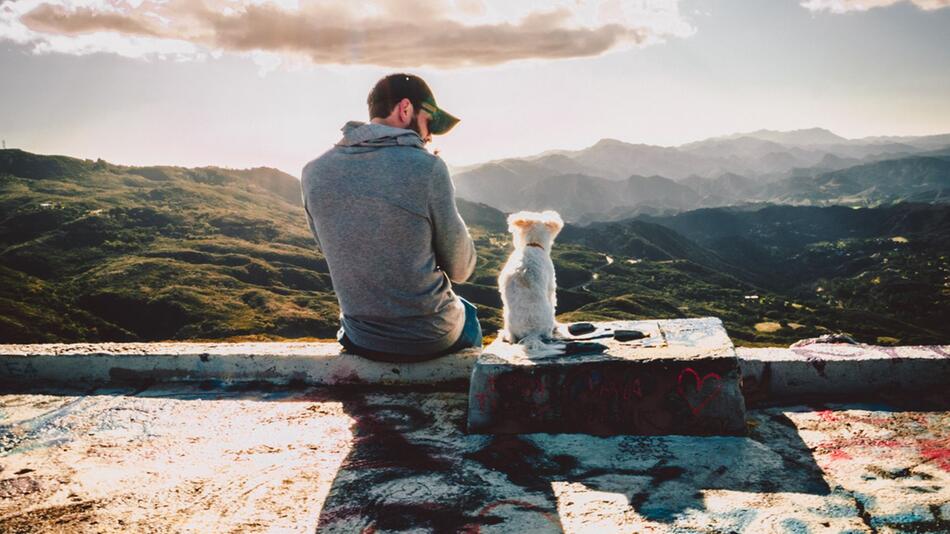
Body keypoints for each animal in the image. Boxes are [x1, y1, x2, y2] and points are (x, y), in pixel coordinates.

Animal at [498, 209, 564, 356]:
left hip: (507, 316)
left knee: (511, 337)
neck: (533, 245)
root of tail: (532, 334)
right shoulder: (551, 286)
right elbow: (554, 302)